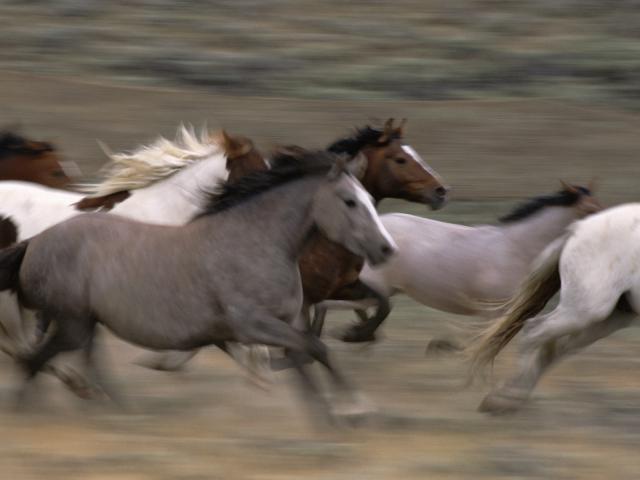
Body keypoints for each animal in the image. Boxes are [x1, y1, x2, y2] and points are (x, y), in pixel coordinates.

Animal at [0, 152, 398, 418]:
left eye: (368, 199)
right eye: (349, 201)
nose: (386, 248)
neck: (255, 243)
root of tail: (34, 242)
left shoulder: (285, 323)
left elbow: (305, 358)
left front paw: (330, 416)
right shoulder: (253, 325)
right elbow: (316, 349)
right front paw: (355, 410)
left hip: (83, 320)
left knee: (73, 356)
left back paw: (114, 407)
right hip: (72, 320)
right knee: (35, 357)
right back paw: (37, 408)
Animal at [468, 202, 640, 412]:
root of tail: (578, 227)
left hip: (608, 319)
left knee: (553, 347)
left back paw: (508, 397)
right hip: (585, 311)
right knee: (534, 331)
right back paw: (508, 397)